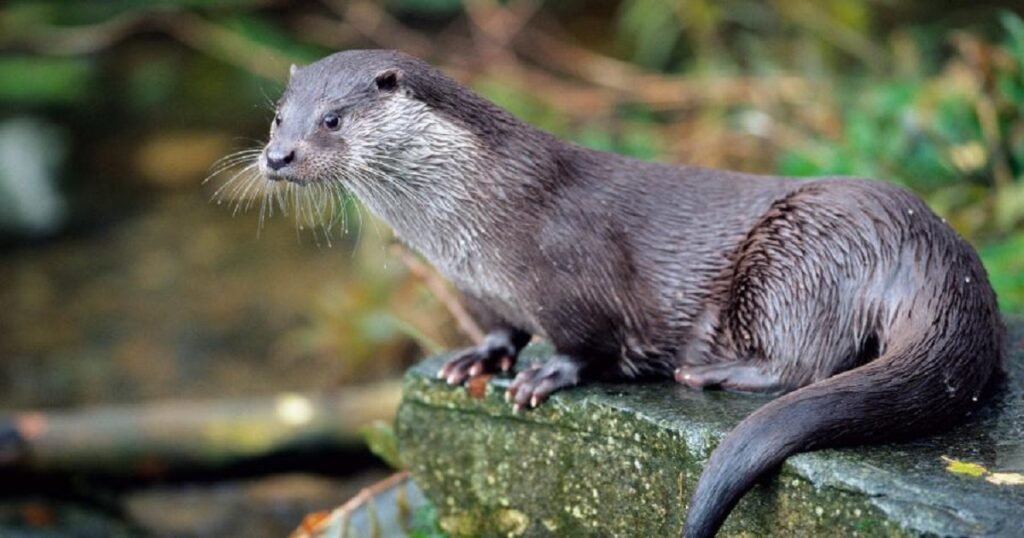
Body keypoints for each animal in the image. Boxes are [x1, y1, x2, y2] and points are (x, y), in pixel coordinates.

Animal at [240, 50, 1004, 537]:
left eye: (333, 118)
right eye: (278, 116)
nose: (278, 156)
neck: (473, 221)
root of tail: (934, 247)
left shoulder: (569, 275)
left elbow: (588, 343)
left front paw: (547, 375)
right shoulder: (477, 288)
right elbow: (500, 328)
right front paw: (478, 359)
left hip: (802, 251)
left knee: (807, 361)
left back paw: (709, 373)